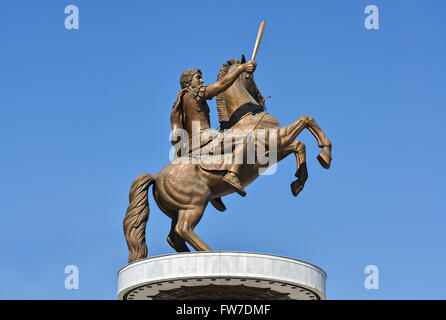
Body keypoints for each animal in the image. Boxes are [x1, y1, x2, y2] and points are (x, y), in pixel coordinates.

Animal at [122, 57, 332, 262]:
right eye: (250, 77)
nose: (262, 100)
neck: (246, 116)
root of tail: (156, 176)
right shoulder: (278, 139)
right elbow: (306, 121)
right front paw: (325, 155)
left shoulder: (275, 151)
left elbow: (299, 144)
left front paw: (298, 182)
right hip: (195, 203)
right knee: (183, 229)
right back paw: (209, 252)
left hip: (178, 209)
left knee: (173, 236)